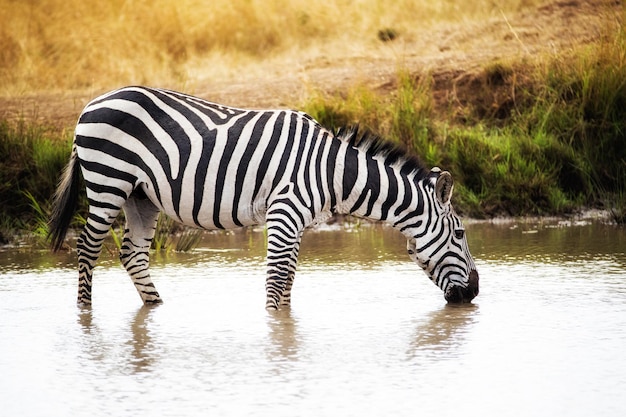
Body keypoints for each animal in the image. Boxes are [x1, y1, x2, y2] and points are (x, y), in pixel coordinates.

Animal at [48, 85, 478, 308]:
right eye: (459, 234)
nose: (474, 293)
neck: (333, 172)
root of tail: (93, 102)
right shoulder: (284, 213)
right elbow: (275, 279)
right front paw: (274, 327)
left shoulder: (299, 222)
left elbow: (288, 280)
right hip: (108, 181)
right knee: (87, 247)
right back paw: (85, 313)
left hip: (141, 196)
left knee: (132, 253)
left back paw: (156, 306)